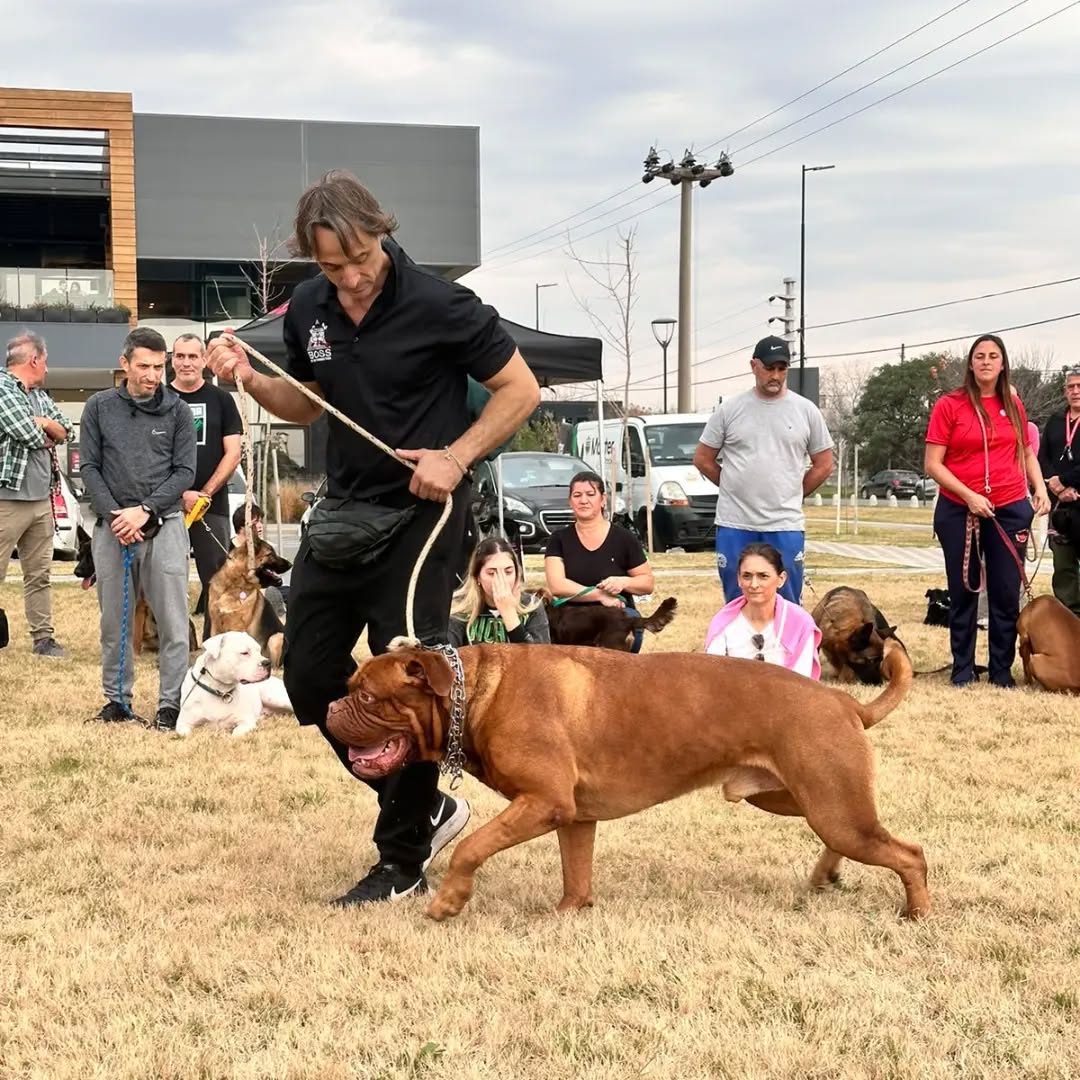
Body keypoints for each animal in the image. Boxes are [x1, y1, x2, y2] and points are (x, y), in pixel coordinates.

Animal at [324, 635, 924, 924]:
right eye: (349, 688)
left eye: (368, 696)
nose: (330, 706)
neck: (475, 693)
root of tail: (844, 701)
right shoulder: (572, 816)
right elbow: (576, 874)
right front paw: (569, 914)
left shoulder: (541, 802)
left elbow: (471, 847)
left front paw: (448, 903)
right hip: (801, 799)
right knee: (856, 839)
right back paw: (826, 875)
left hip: (829, 802)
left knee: (908, 853)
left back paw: (915, 913)